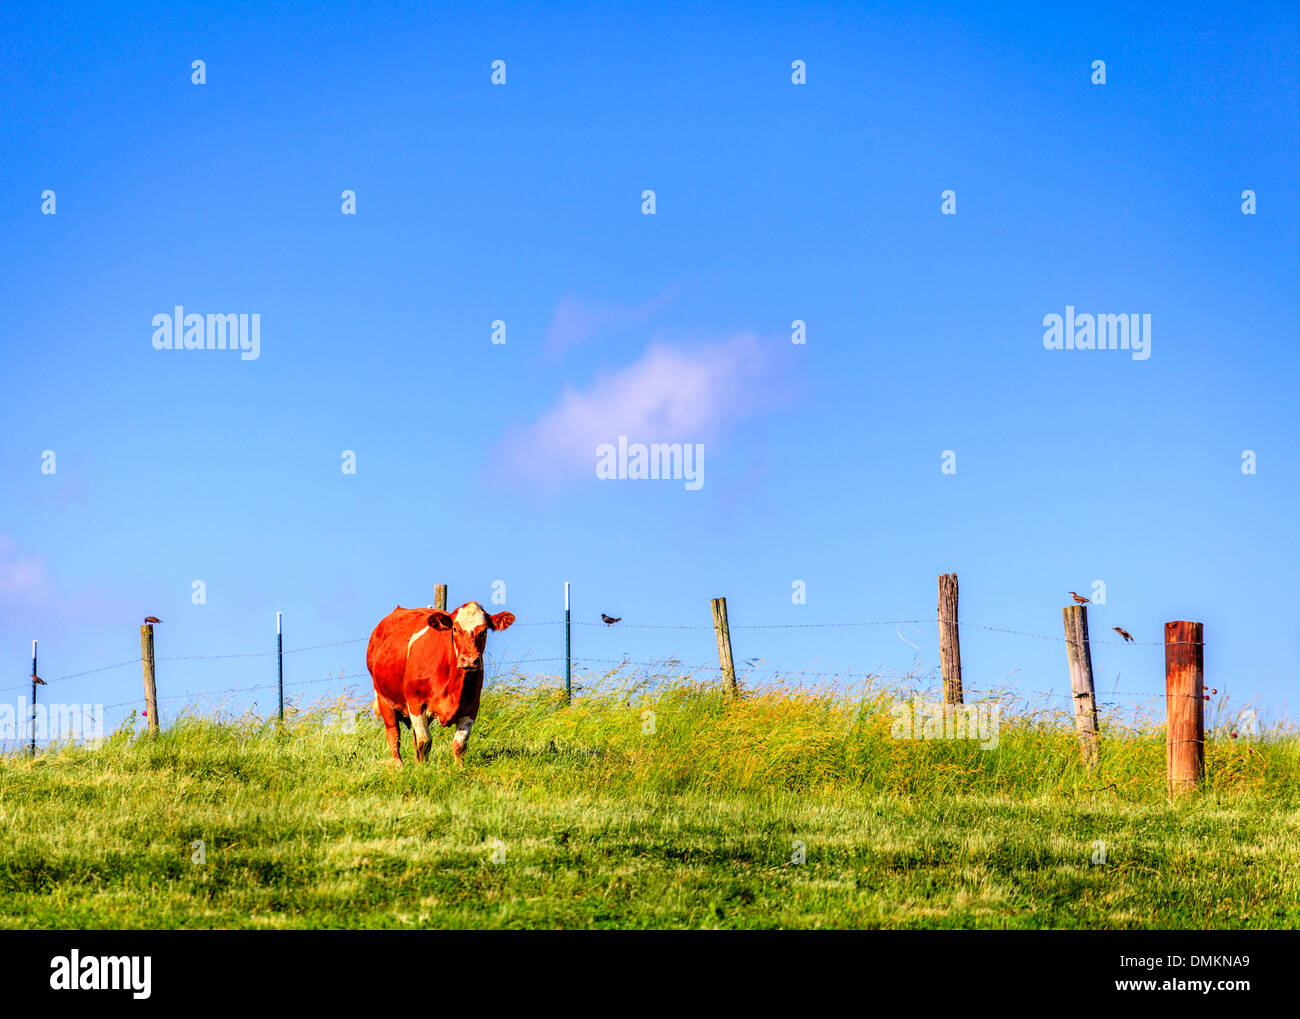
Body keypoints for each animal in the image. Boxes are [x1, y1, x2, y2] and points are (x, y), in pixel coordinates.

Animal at [366, 600, 512, 759]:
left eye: (484, 631)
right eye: (455, 629)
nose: (469, 660)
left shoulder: (472, 706)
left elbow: (459, 745)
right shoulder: (415, 703)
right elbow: (424, 742)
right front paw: (423, 766)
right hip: (383, 699)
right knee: (394, 736)